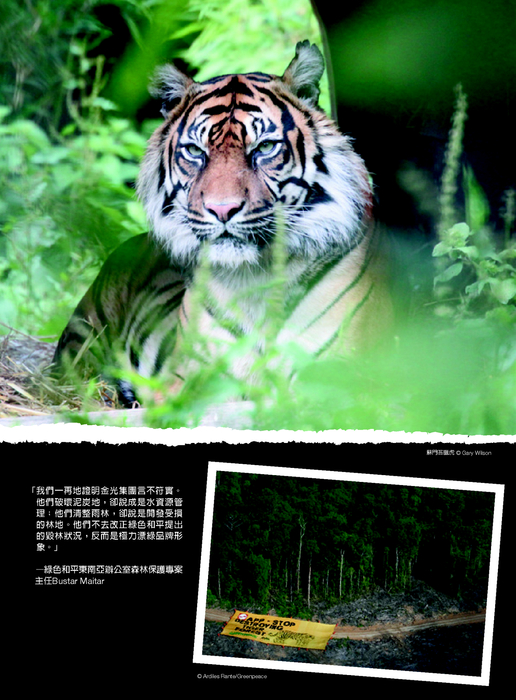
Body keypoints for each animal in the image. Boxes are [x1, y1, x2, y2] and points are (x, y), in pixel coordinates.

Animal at [53, 40, 393, 408]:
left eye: (265, 147)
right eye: (194, 151)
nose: (222, 209)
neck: (255, 280)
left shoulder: (344, 379)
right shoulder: (183, 381)